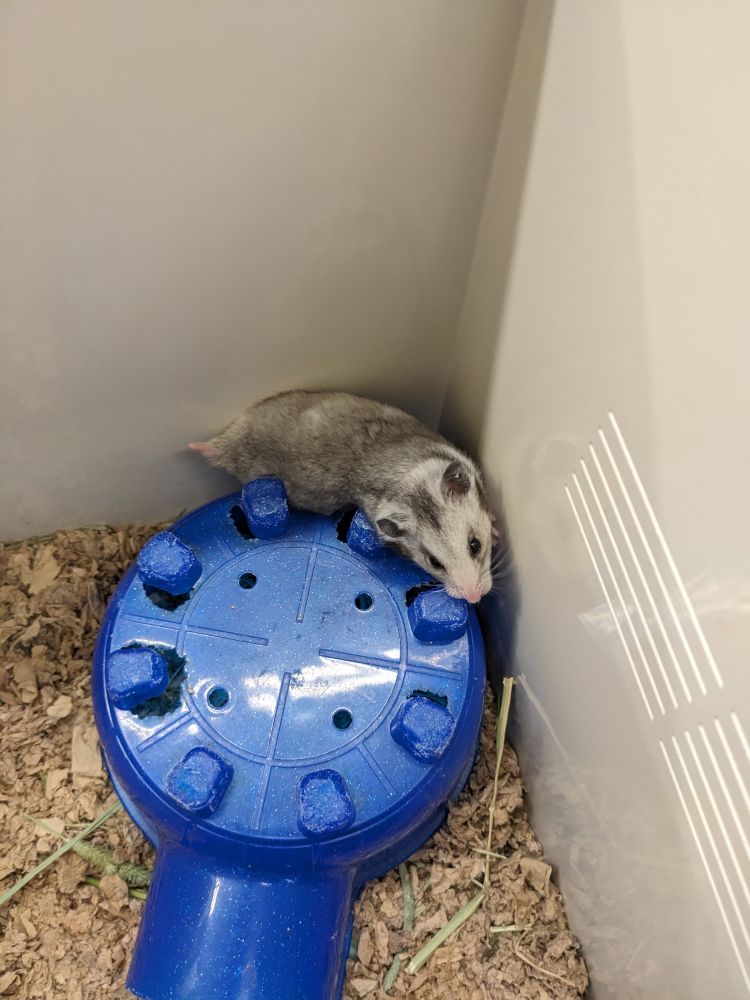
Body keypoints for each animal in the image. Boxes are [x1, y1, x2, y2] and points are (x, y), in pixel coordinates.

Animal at [189, 390, 499, 603]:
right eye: (434, 562)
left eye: (475, 545)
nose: (474, 598)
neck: (407, 477)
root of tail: (230, 449)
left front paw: (495, 527)